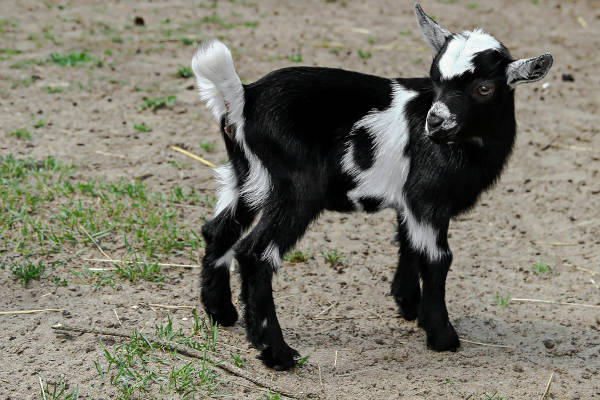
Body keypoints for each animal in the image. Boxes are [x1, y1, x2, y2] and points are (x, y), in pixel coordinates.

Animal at [192, 3, 552, 372]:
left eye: (484, 88)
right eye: (435, 79)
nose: (434, 122)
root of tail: (244, 99)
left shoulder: (411, 200)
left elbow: (409, 244)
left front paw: (410, 306)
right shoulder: (428, 197)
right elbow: (437, 258)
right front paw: (442, 336)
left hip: (248, 176)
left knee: (218, 230)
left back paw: (222, 313)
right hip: (296, 188)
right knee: (255, 253)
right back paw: (277, 353)